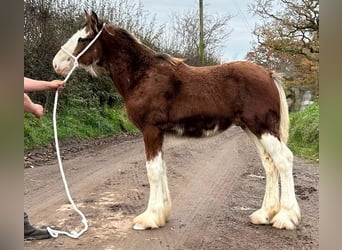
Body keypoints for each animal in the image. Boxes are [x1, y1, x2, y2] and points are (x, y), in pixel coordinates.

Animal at [52, 11, 300, 230]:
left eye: (82, 38)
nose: (56, 64)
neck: (143, 75)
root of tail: (268, 75)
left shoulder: (151, 131)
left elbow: (153, 171)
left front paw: (148, 219)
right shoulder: (158, 133)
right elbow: (160, 169)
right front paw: (160, 214)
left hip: (264, 128)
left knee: (284, 160)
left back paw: (285, 217)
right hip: (252, 129)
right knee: (269, 164)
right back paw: (264, 214)